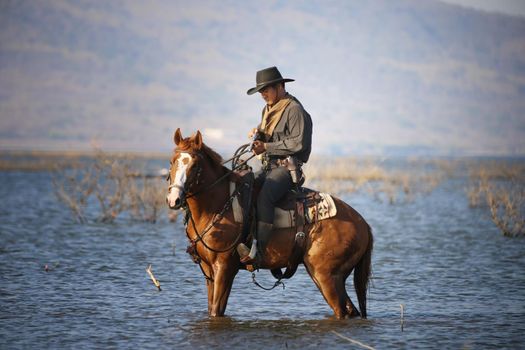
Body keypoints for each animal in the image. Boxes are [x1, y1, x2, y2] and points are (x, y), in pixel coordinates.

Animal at [166, 129, 370, 320]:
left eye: (195, 165)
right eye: (172, 161)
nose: (174, 199)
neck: (217, 205)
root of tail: (364, 224)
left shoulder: (224, 268)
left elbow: (217, 311)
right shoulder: (208, 270)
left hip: (326, 276)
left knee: (341, 311)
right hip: (330, 275)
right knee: (351, 310)